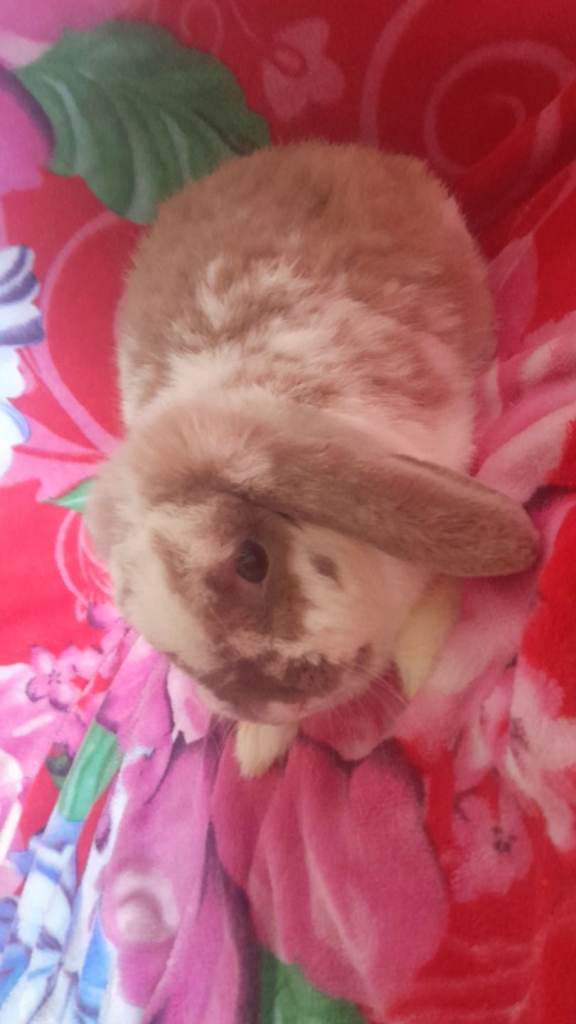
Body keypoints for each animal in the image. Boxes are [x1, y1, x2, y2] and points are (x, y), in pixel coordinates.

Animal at [86, 141, 538, 778]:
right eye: (165, 650)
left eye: (252, 560)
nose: (278, 699)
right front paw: (258, 749)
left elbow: (433, 600)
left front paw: (426, 673)